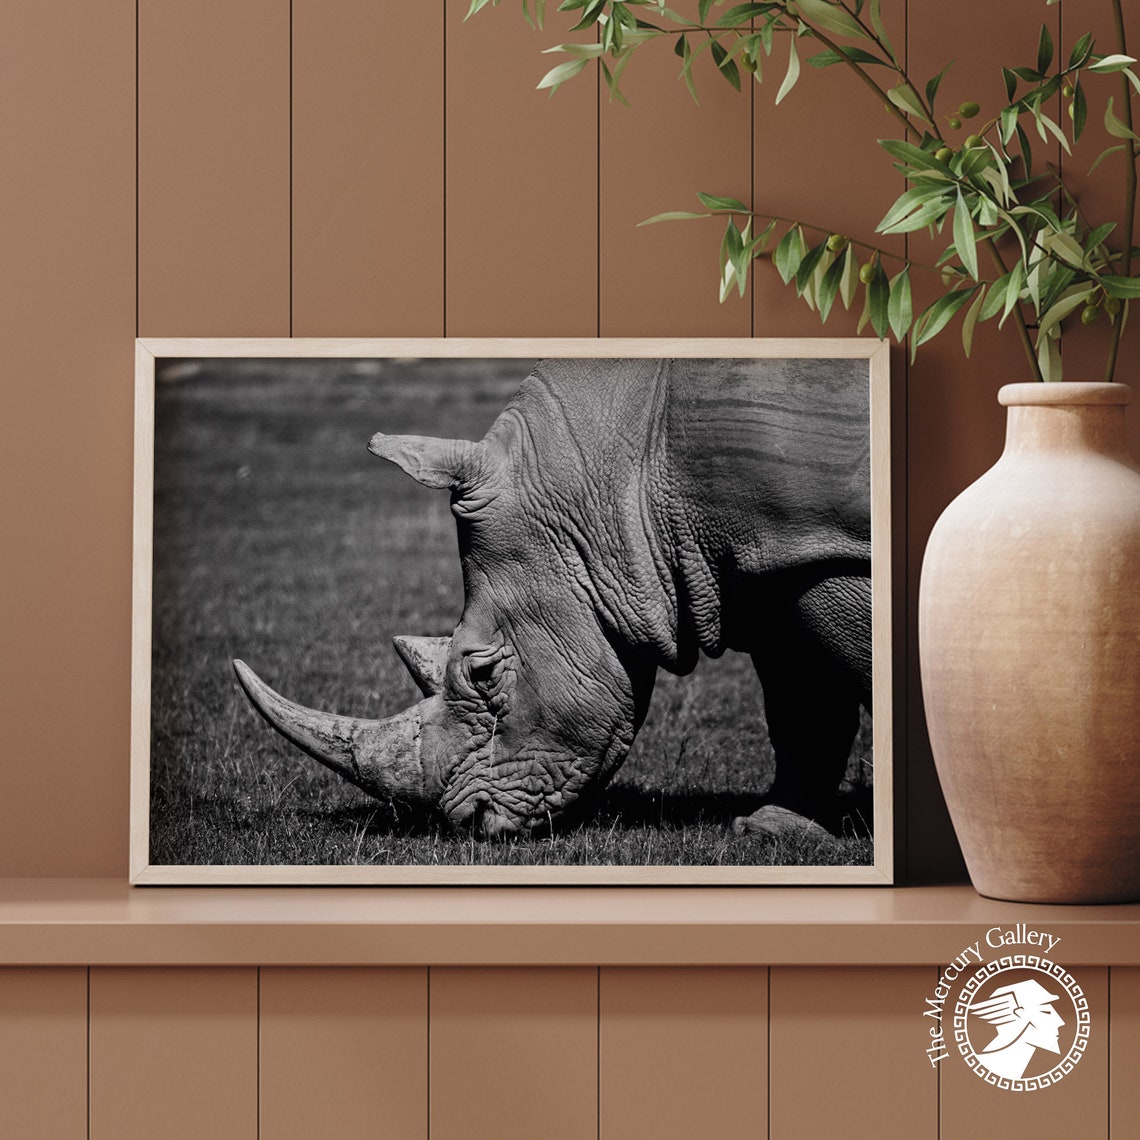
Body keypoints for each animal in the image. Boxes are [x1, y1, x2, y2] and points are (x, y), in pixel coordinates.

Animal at [233, 357, 872, 842]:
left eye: (484, 673)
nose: (472, 823)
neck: (618, 476)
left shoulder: (819, 547)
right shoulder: (768, 560)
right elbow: (803, 702)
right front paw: (772, 829)